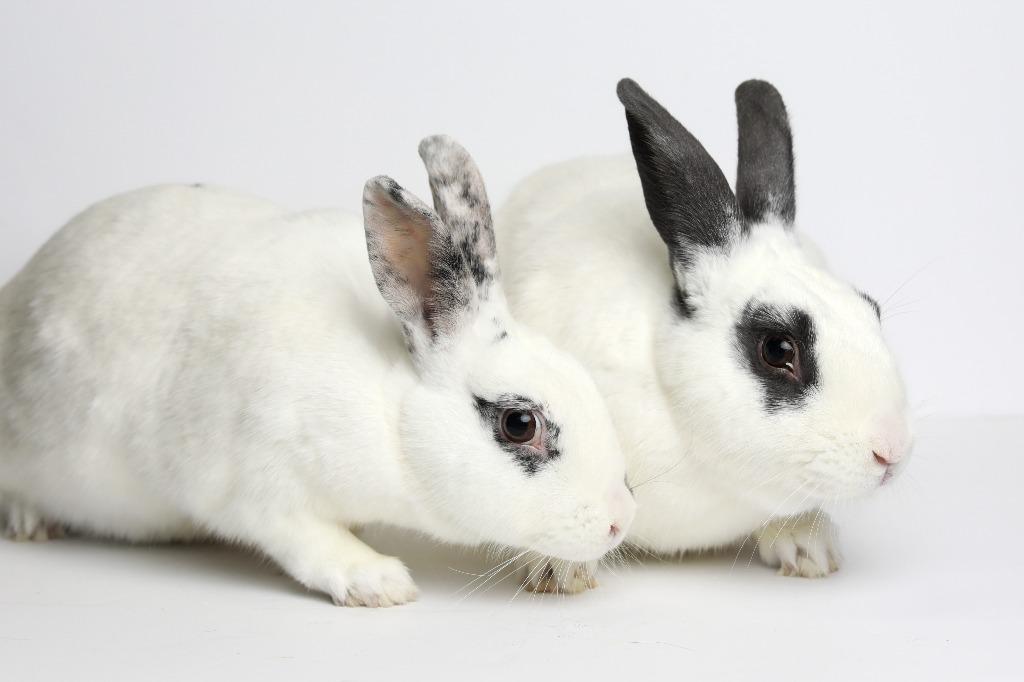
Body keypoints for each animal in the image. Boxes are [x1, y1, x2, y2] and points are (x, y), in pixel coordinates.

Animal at [0, 135, 636, 606]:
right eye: (519, 424)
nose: (619, 521)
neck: (389, 411)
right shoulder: (254, 484)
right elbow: (305, 541)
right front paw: (378, 581)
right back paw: (32, 522)